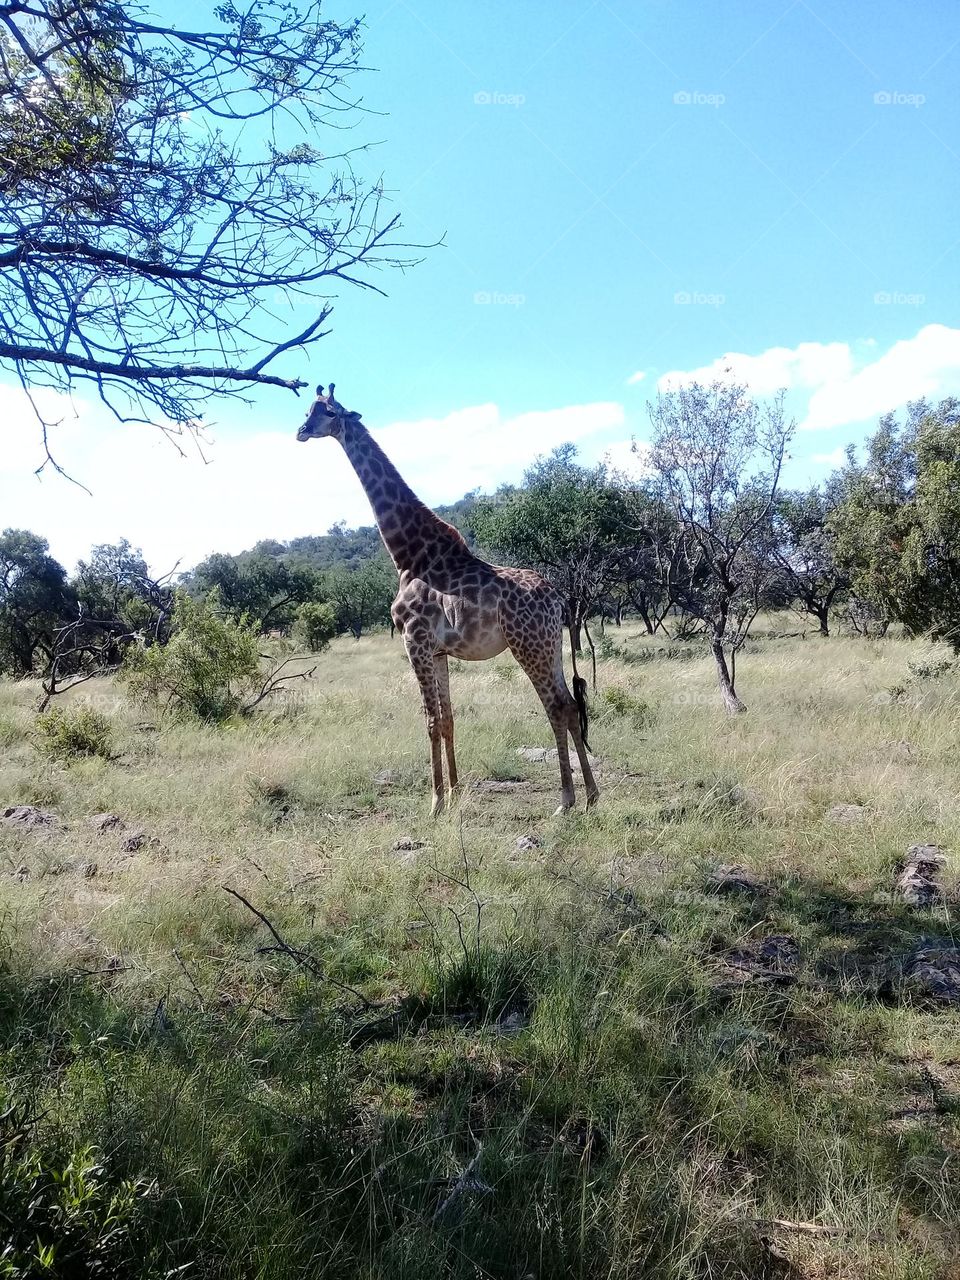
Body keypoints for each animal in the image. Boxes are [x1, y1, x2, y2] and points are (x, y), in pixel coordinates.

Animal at [296, 385, 599, 816]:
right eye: (308, 408)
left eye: (328, 412)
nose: (301, 431)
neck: (409, 555)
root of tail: (558, 599)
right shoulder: (438, 651)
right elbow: (449, 718)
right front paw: (455, 794)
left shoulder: (414, 641)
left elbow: (430, 721)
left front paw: (436, 802)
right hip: (551, 646)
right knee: (572, 707)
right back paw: (591, 795)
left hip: (528, 646)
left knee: (556, 707)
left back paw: (566, 800)